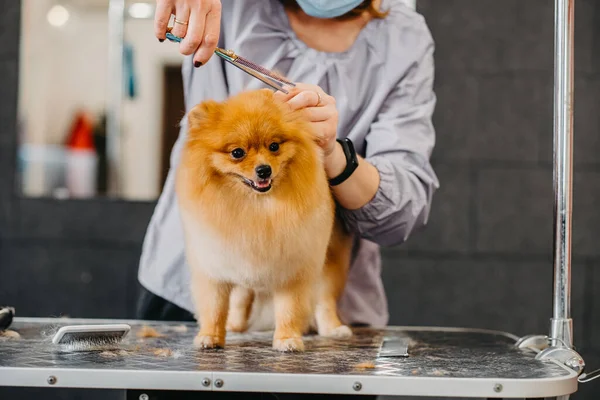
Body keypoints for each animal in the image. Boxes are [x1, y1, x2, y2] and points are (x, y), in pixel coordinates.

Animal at [175, 89, 352, 352]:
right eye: (237, 153)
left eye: (274, 146)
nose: (264, 170)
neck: (256, 209)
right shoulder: (214, 266)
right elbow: (214, 307)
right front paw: (210, 336)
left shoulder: (293, 269)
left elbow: (289, 309)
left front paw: (287, 340)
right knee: (241, 297)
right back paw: (234, 325)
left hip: (328, 261)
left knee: (324, 299)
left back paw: (333, 329)